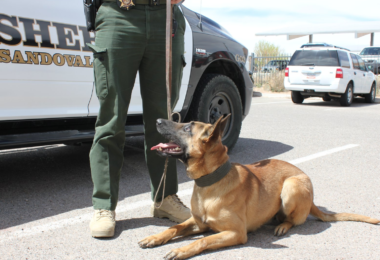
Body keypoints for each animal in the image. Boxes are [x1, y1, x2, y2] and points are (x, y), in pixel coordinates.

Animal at [138, 116, 378, 260]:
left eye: (188, 127)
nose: (158, 119)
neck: (210, 183)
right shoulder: (199, 223)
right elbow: (174, 228)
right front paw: (154, 238)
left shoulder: (235, 233)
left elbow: (203, 240)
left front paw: (181, 250)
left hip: (291, 186)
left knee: (293, 220)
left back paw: (283, 226)